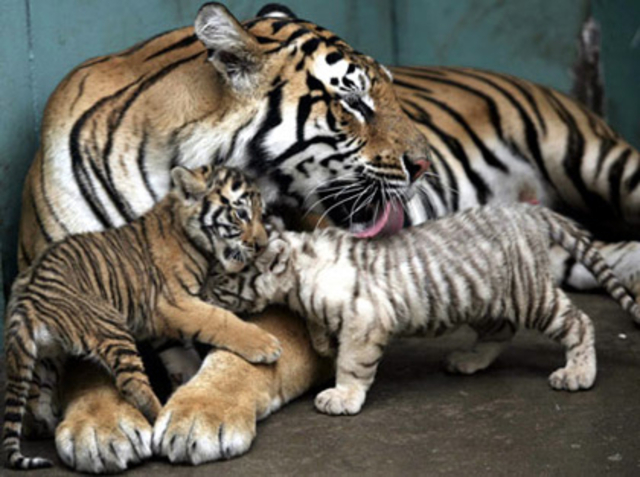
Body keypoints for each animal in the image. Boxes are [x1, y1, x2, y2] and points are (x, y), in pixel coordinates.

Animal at [3, 165, 280, 470]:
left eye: (262, 213)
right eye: (241, 214)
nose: (261, 245)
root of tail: (28, 302)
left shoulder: (159, 325)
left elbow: (181, 358)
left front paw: (191, 383)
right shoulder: (174, 302)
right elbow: (219, 319)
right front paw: (266, 345)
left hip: (45, 353)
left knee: (33, 387)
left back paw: (40, 421)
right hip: (109, 326)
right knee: (131, 384)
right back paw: (159, 419)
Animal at [206, 204, 640, 415]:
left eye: (222, 278)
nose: (201, 293)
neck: (297, 277)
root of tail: (526, 209)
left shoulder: (366, 319)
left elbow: (353, 364)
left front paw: (342, 396)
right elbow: (317, 323)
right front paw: (323, 342)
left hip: (529, 293)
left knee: (579, 322)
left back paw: (578, 374)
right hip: (481, 298)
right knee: (501, 331)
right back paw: (468, 360)